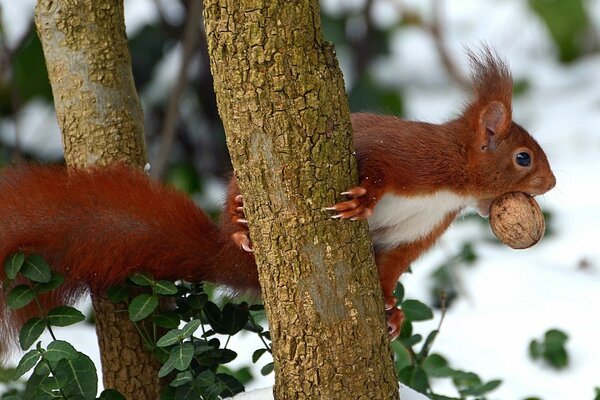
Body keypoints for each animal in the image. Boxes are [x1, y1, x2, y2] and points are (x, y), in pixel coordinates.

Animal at [0, 48, 552, 350]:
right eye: (524, 158)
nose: (551, 184)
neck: (453, 184)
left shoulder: (420, 231)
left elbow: (391, 268)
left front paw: (393, 310)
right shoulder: (412, 159)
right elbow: (374, 165)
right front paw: (362, 201)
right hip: (240, 186)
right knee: (234, 209)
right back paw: (241, 225)